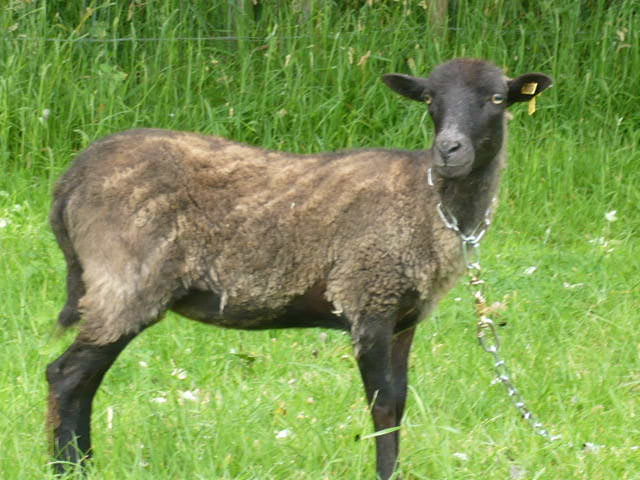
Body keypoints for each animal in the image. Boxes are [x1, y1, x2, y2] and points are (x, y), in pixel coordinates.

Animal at [47, 58, 552, 478]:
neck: (429, 203)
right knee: (66, 376)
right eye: (430, 98)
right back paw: (67, 468)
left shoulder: (403, 319)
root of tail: (70, 180)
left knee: (84, 381)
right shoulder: (368, 298)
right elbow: (382, 405)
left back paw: (82, 465)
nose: (449, 150)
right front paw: (385, 473)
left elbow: (400, 403)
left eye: (497, 98)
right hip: (127, 279)